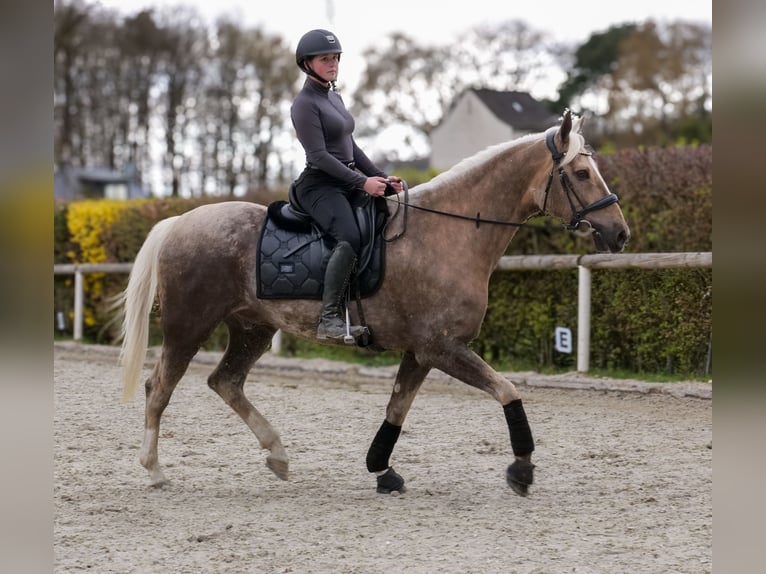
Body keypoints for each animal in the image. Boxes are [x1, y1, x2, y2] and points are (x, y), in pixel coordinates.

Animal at [118, 110, 629, 496]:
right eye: (581, 173)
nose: (619, 234)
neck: (450, 232)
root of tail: (181, 221)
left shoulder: (421, 351)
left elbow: (396, 408)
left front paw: (382, 471)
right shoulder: (442, 347)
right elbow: (507, 390)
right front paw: (522, 469)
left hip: (253, 328)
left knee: (225, 382)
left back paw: (278, 455)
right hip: (188, 326)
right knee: (159, 387)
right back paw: (154, 469)